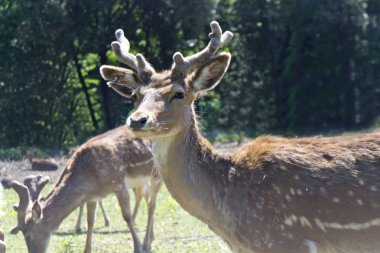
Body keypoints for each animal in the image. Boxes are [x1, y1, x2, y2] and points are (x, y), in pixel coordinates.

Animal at [7, 126, 161, 253]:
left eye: (28, 235)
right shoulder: (92, 197)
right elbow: (90, 222)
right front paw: (86, 249)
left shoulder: (119, 184)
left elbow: (127, 217)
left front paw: (138, 248)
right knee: (148, 200)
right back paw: (152, 238)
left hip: (156, 173)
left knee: (152, 203)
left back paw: (146, 244)